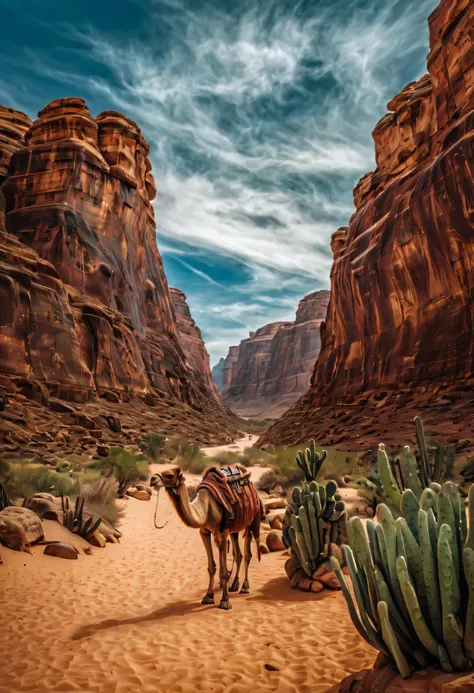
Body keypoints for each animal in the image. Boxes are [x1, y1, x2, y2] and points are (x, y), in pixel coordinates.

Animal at [151, 464, 262, 604]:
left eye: (170, 475)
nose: (152, 480)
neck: (206, 507)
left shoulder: (221, 534)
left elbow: (223, 571)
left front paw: (225, 601)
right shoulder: (204, 532)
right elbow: (211, 568)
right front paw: (208, 597)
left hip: (250, 522)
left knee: (247, 554)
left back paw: (244, 587)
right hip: (234, 529)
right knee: (239, 555)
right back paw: (234, 585)